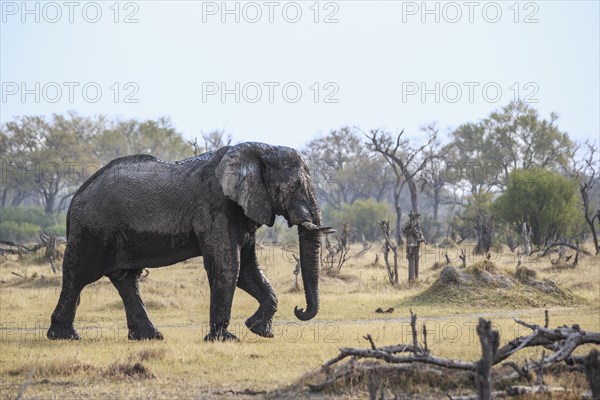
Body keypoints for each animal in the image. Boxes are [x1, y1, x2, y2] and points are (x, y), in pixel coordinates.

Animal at [48, 142, 332, 342]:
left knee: (126, 279)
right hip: (92, 228)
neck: (260, 148)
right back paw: (65, 336)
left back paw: (150, 336)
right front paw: (224, 339)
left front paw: (260, 330)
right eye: (294, 186)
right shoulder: (215, 206)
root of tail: (75, 197)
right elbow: (228, 266)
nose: (299, 309)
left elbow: (247, 270)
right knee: (78, 274)